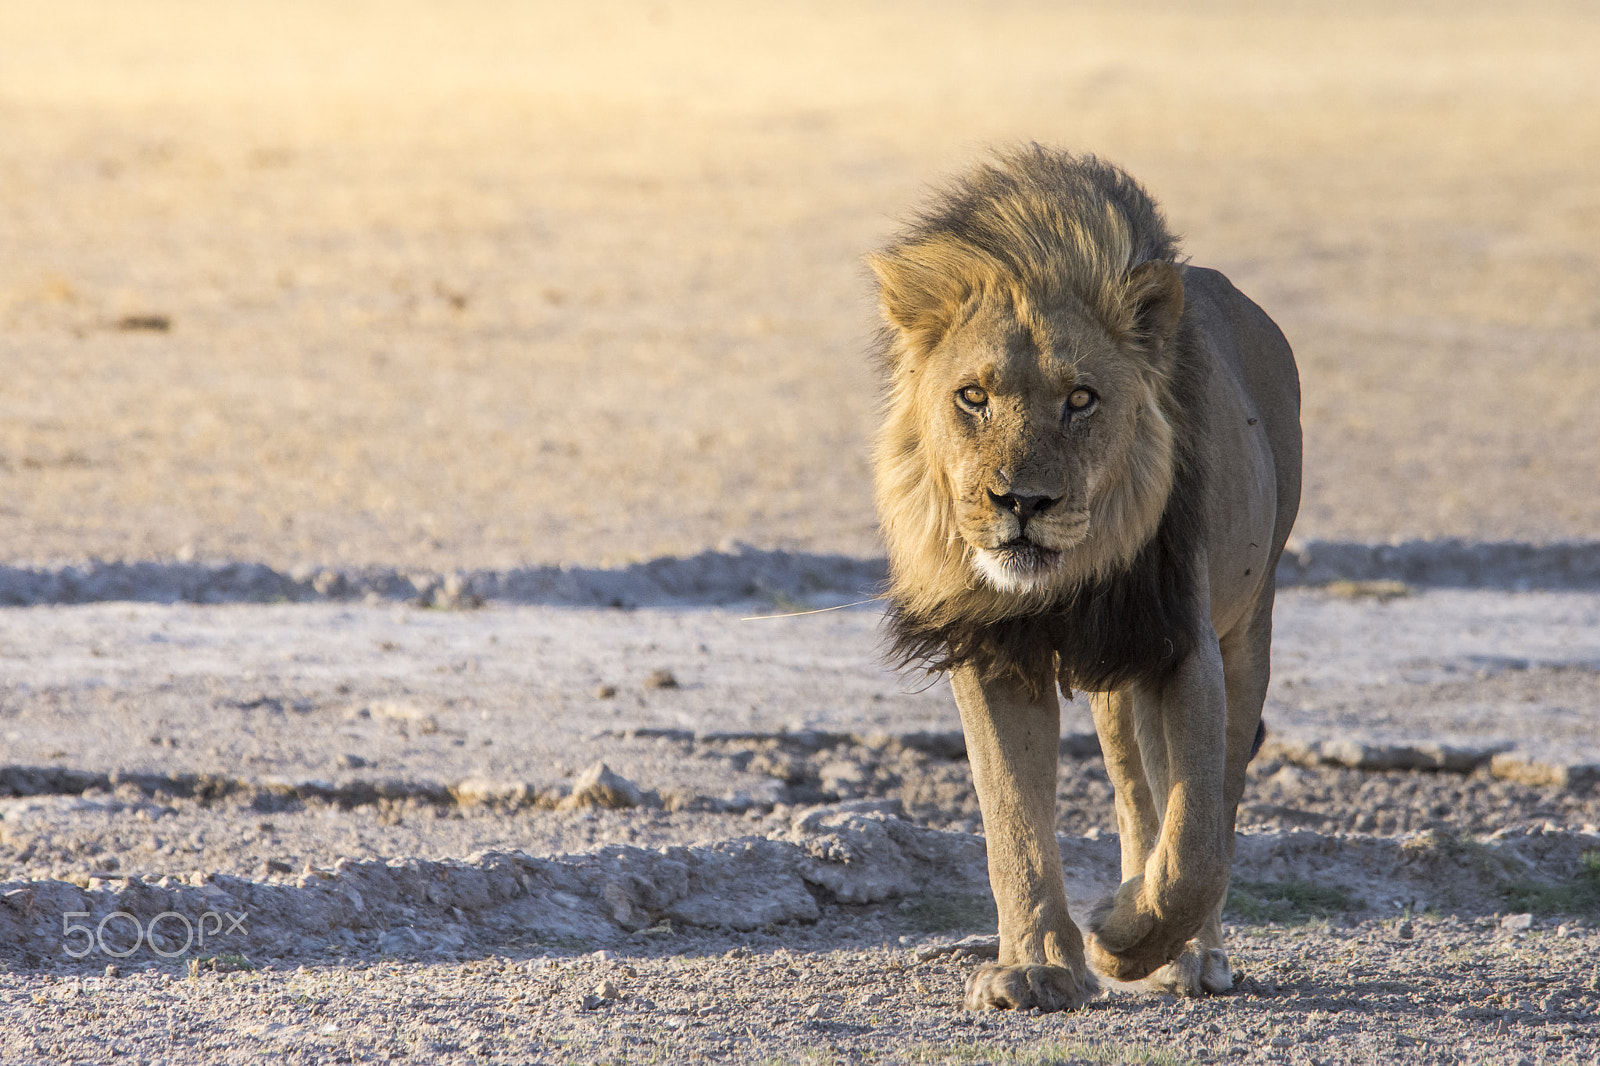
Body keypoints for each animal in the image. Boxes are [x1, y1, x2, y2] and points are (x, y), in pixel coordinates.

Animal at [866, 147, 1301, 1011]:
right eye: (972, 396)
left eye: (1081, 399)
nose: (1021, 502)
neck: (1064, 584)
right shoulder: (994, 652)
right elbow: (1014, 822)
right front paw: (1035, 968)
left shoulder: (1182, 644)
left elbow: (1196, 842)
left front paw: (1123, 938)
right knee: (1136, 793)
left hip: (1246, 628)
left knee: (1213, 800)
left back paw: (1191, 953)